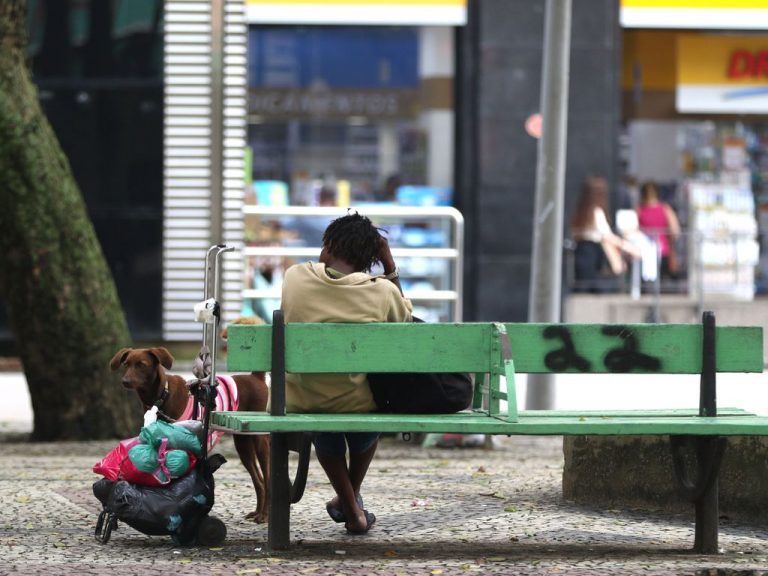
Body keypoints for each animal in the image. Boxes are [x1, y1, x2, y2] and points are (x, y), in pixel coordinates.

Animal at [109, 344, 272, 524]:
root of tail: (256, 378)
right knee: (259, 481)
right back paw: (257, 512)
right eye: (126, 364)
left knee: (267, 478)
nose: (125, 381)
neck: (162, 395)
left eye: (141, 365)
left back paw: (264, 515)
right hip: (243, 444)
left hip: (260, 440)